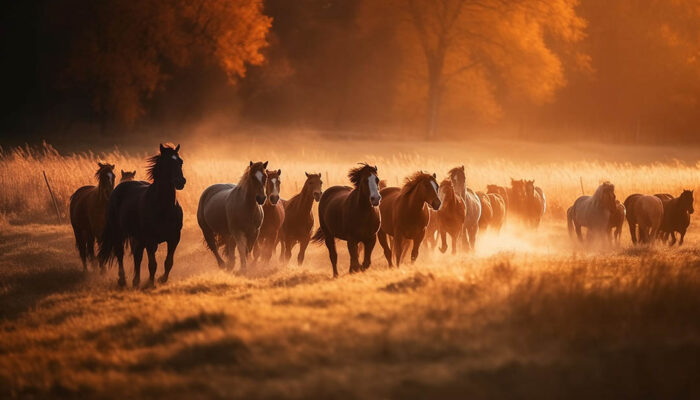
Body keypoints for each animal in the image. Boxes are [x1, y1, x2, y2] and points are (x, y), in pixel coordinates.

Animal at [99, 145, 186, 288]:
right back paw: (122, 280)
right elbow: (153, 264)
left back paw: (136, 281)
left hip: (137, 237)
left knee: (137, 256)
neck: (163, 207)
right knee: (120, 254)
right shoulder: (150, 240)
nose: (180, 182)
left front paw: (162, 279)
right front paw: (151, 283)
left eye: (181, 162)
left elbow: (168, 262)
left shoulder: (174, 238)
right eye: (167, 162)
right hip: (118, 233)